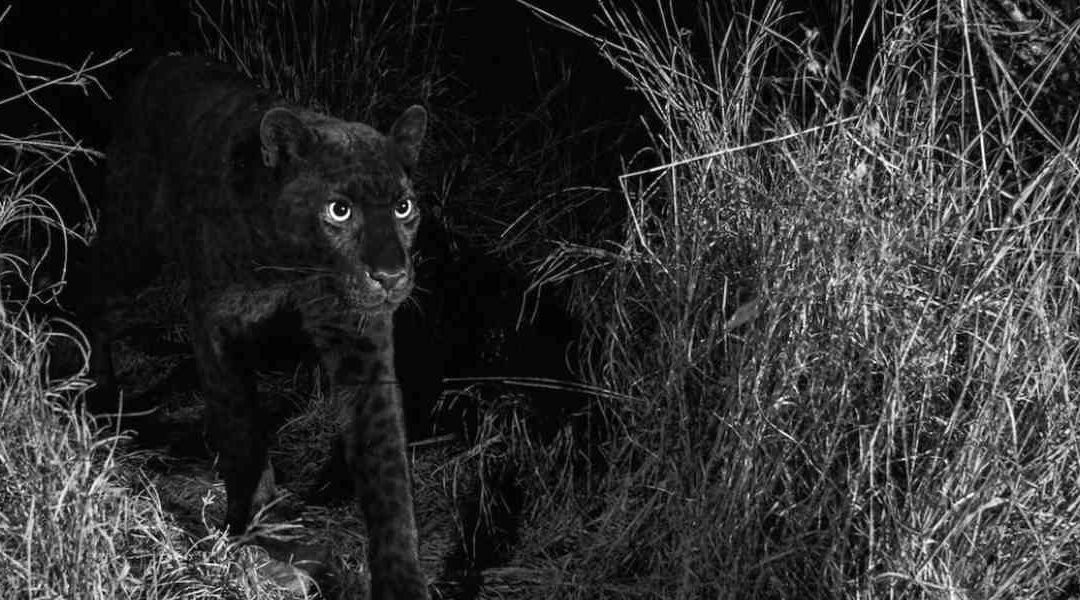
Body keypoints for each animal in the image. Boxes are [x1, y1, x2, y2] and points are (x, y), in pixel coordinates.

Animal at [82, 55, 430, 599]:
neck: (297, 267)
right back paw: (94, 390)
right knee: (91, 283)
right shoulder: (216, 319)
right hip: (134, 248)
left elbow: (386, 465)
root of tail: (161, 63)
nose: (391, 275)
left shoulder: (360, 338)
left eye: (403, 207)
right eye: (339, 209)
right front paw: (258, 527)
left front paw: (402, 581)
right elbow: (241, 422)